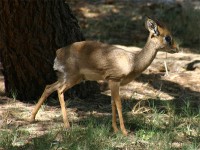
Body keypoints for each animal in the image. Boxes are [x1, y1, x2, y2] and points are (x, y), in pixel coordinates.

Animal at [29, 17, 178, 136]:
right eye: (167, 37)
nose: (177, 48)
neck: (133, 61)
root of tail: (58, 52)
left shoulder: (112, 83)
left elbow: (112, 104)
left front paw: (115, 129)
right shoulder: (114, 80)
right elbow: (119, 105)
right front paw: (124, 132)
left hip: (68, 78)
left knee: (49, 87)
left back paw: (32, 118)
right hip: (71, 78)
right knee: (59, 91)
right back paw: (67, 125)